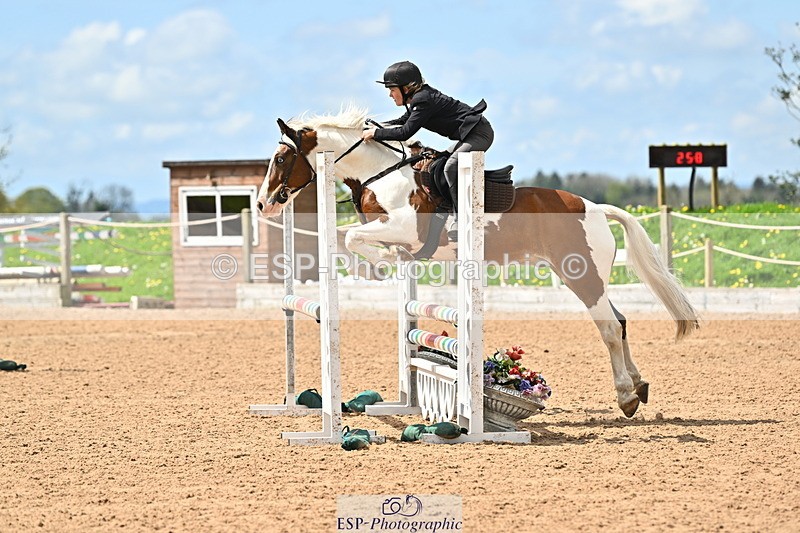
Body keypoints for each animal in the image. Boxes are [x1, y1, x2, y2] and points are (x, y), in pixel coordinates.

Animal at [256, 106, 700, 418]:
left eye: (280, 159)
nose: (262, 205)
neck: (382, 173)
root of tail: (594, 207)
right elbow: (355, 238)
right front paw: (384, 262)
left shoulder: (405, 227)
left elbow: (350, 236)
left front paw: (379, 264)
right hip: (587, 277)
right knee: (620, 322)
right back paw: (639, 386)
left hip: (582, 276)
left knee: (608, 327)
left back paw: (626, 397)